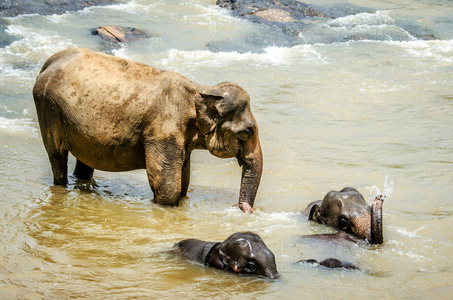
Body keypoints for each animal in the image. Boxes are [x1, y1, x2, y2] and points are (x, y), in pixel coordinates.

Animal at [32, 47, 262, 213]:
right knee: (57, 156)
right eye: (248, 131)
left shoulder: (180, 138)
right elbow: (169, 189)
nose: (245, 211)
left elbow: (183, 185)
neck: (202, 89)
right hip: (48, 109)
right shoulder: (162, 134)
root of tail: (48, 62)